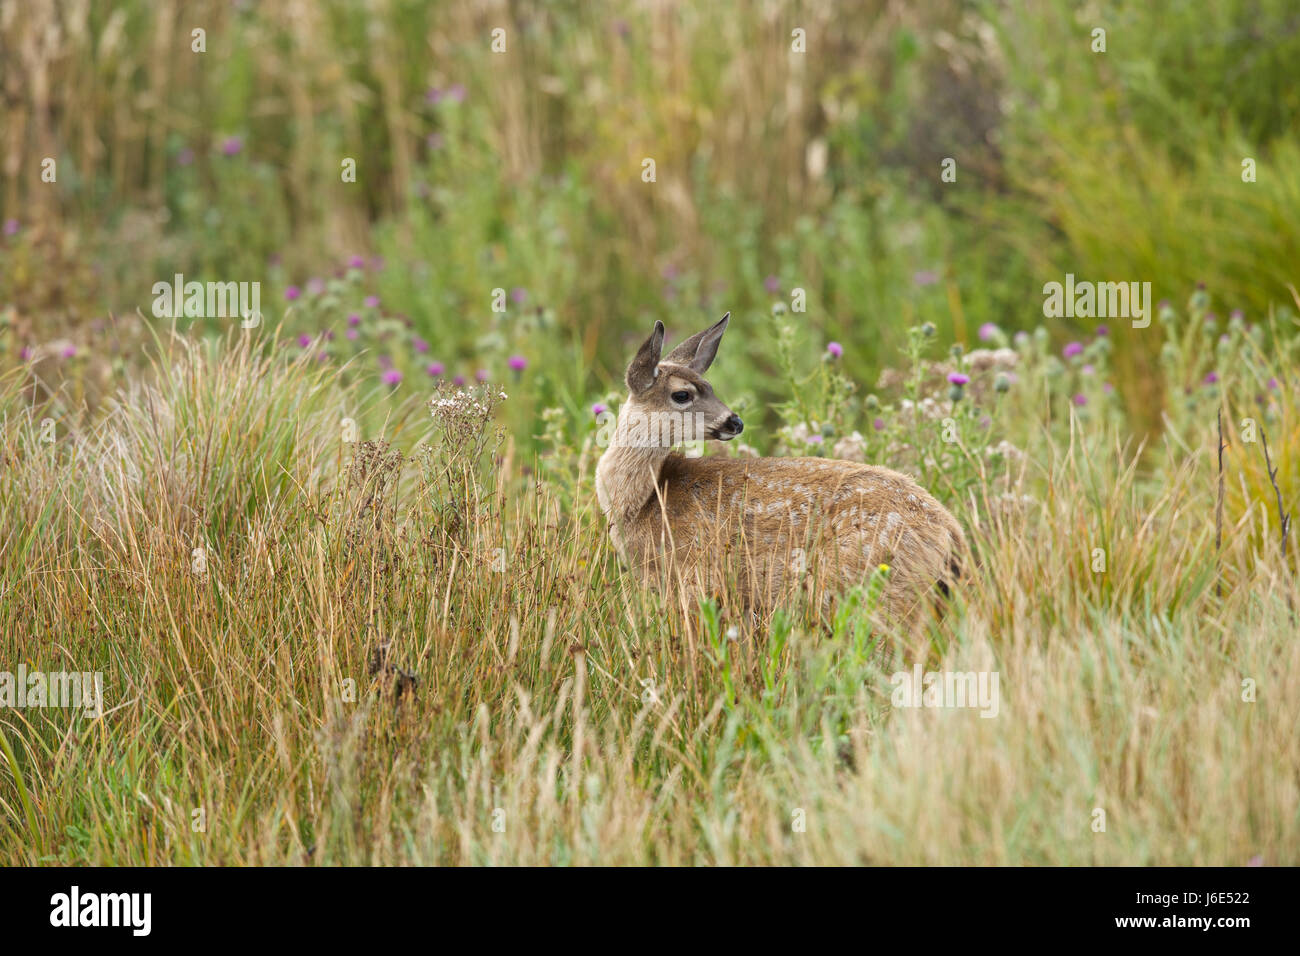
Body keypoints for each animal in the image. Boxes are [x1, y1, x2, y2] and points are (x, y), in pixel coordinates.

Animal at [595, 310, 967, 632]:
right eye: (682, 394)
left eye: (709, 388)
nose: (735, 421)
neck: (644, 502)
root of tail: (951, 532)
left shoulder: (695, 577)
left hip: (883, 589)